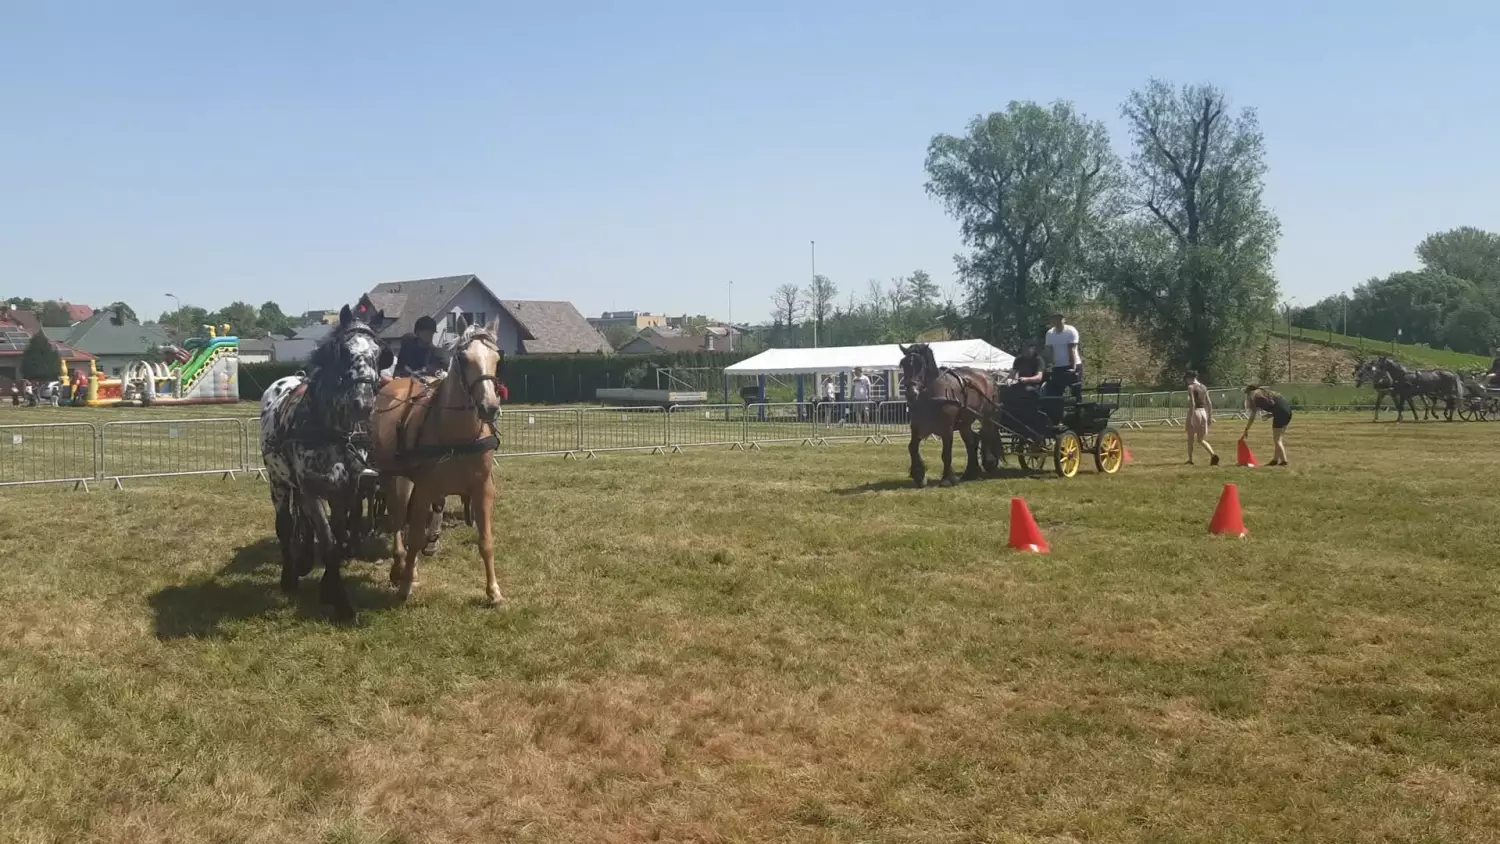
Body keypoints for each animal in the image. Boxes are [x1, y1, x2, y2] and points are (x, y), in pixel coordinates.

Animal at [255, 307, 381, 623]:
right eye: (344, 352)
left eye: (378, 352)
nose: (364, 403)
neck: (327, 428)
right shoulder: (310, 490)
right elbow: (328, 542)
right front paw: (341, 603)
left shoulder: (344, 491)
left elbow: (336, 537)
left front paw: (329, 589)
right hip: (278, 482)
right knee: (286, 526)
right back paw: (290, 574)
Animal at [370, 320, 507, 605]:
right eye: (464, 359)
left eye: (497, 359)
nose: (489, 407)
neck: (457, 436)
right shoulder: (424, 489)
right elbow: (414, 537)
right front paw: (405, 586)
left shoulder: (483, 489)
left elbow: (486, 540)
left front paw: (494, 592)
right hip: (394, 477)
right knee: (398, 520)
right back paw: (400, 567)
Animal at [894, 343, 1002, 488]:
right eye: (903, 364)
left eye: (921, 365)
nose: (912, 393)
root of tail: (988, 377)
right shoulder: (917, 426)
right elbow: (912, 447)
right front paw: (919, 475)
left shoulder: (947, 428)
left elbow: (946, 453)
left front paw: (947, 479)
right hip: (964, 423)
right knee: (972, 440)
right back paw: (971, 472)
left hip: (987, 417)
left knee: (987, 434)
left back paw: (989, 462)